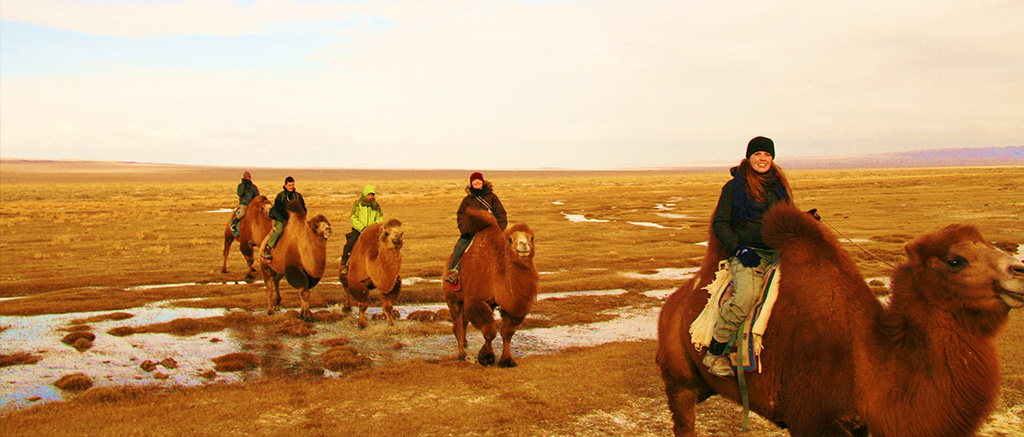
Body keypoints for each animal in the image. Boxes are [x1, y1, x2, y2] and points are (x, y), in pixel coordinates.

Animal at [442, 208, 540, 366]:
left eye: (532, 238)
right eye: (510, 239)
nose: (524, 245)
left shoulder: (508, 306)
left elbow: (507, 332)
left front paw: (506, 360)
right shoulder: (476, 300)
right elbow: (489, 331)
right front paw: (486, 357)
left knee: (463, 322)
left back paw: (465, 344)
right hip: (452, 298)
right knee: (457, 325)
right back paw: (462, 354)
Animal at [655, 203, 1024, 435]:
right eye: (955, 261)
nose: (1019, 270)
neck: (867, 358)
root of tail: (673, 303)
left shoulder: (856, 425)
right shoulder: (811, 419)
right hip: (679, 380)